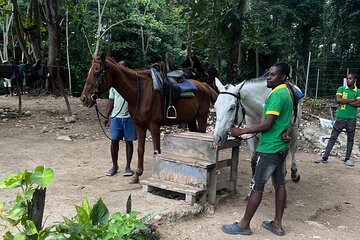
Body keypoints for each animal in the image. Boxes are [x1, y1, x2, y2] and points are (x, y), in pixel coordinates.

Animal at [81, 54, 217, 182]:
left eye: (97, 72)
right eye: (89, 72)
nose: (84, 98)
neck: (140, 93)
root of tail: (204, 85)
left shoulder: (154, 126)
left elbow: (157, 150)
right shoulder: (139, 125)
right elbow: (140, 149)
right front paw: (136, 176)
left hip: (201, 117)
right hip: (191, 119)